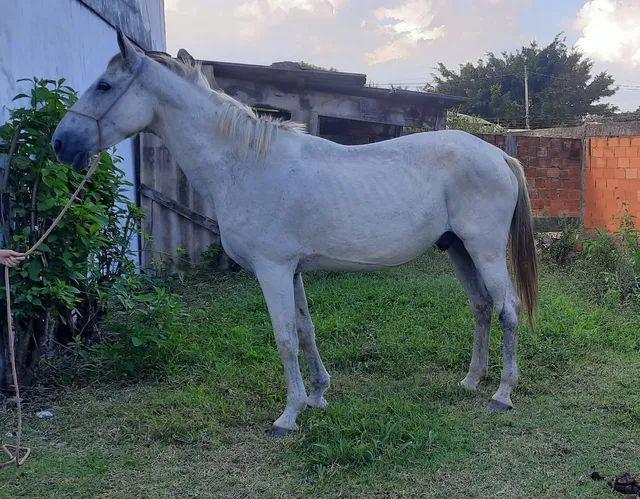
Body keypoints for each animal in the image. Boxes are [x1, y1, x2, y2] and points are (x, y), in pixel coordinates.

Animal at [52, 32, 536, 438]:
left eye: (104, 86)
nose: (61, 143)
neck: (245, 164)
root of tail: (497, 154)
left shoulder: (272, 270)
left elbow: (284, 339)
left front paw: (288, 415)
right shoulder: (293, 270)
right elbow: (305, 330)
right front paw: (318, 395)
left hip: (485, 251)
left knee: (508, 310)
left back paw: (502, 394)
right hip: (459, 251)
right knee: (482, 307)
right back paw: (471, 380)